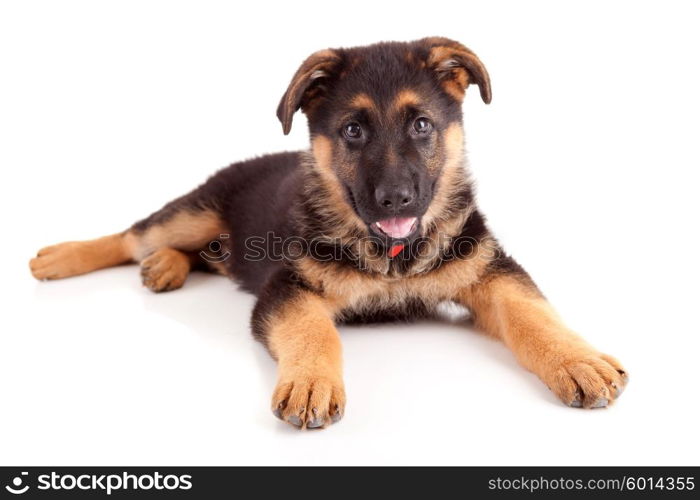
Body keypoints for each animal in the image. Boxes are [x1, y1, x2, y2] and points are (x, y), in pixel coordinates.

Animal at [30, 38, 628, 430]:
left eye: (421, 125)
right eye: (353, 131)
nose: (395, 199)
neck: (392, 254)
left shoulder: (489, 270)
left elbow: (533, 313)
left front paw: (578, 361)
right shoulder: (288, 288)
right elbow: (313, 330)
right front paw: (311, 382)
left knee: (188, 253)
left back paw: (165, 268)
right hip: (195, 211)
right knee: (133, 236)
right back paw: (60, 257)